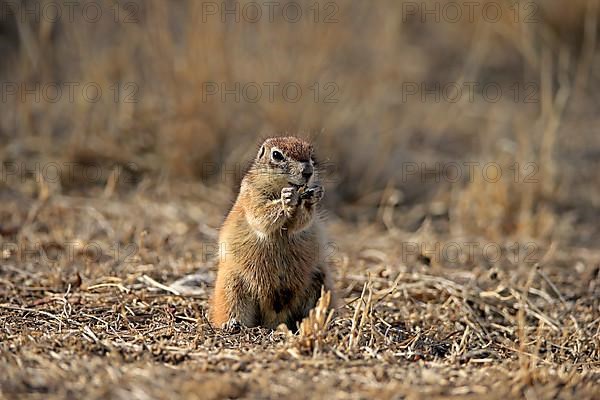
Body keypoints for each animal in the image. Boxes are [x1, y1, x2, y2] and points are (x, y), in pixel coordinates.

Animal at [210, 136, 332, 330]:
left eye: (311, 153)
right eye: (277, 155)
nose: (308, 171)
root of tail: (274, 320)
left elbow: (301, 222)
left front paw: (313, 196)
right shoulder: (252, 195)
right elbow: (261, 215)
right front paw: (286, 199)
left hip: (320, 280)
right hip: (231, 286)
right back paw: (233, 324)